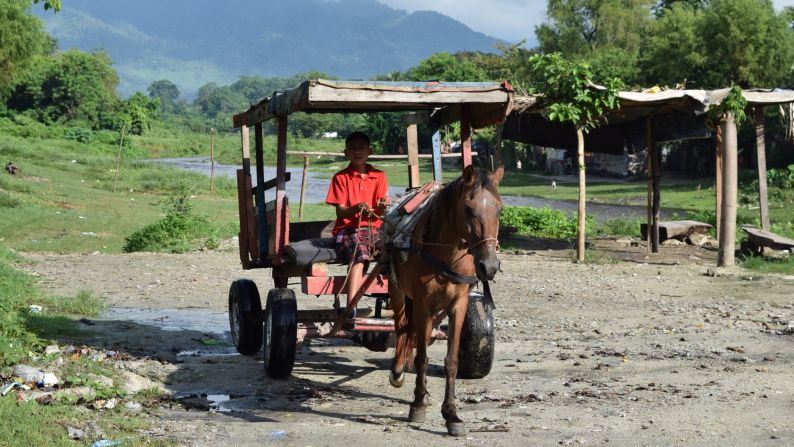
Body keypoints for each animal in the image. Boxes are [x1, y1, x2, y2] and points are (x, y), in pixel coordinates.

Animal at [384, 163, 502, 436]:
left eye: (499, 209)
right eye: (468, 209)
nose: (489, 266)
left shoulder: (458, 305)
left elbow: (451, 361)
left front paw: (451, 415)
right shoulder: (422, 304)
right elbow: (422, 358)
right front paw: (417, 405)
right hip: (397, 291)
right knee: (401, 325)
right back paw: (399, 371)